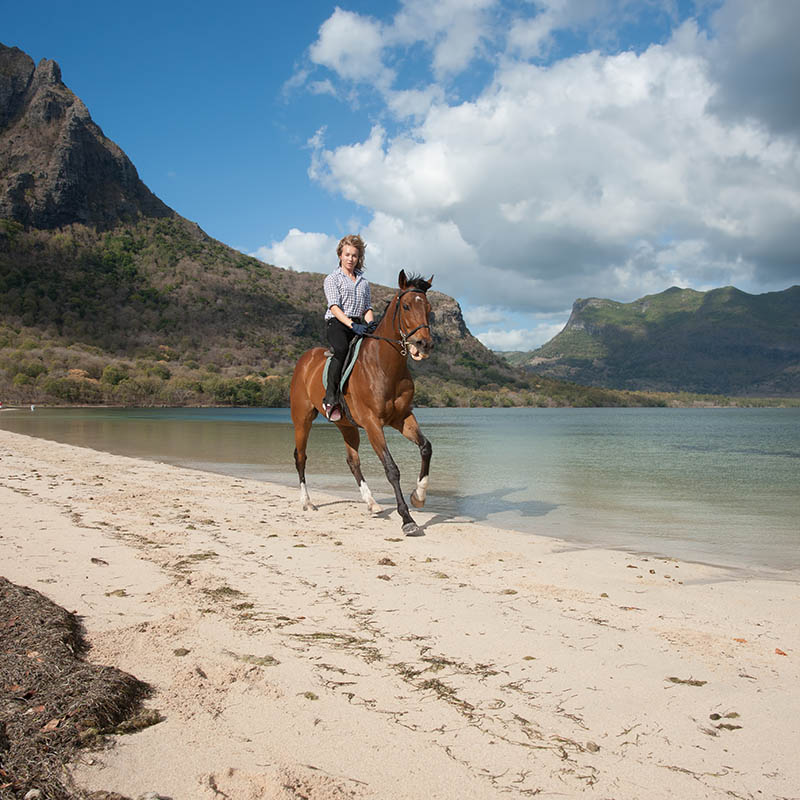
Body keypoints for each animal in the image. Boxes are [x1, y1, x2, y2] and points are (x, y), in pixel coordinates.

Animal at [290, 270, 434, 536]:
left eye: (428, 308)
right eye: (406, 306)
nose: (424, 344)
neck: (384, 366)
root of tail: (305, 360)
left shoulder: (402, 418)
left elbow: (426, 447)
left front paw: (418, 496)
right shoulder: (372, 423)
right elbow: (391, 468)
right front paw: (407, 519)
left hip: (346, 425)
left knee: (352, 461)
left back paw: (372, 503)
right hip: (302, 419)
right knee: (301, 456)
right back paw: (307, 502)